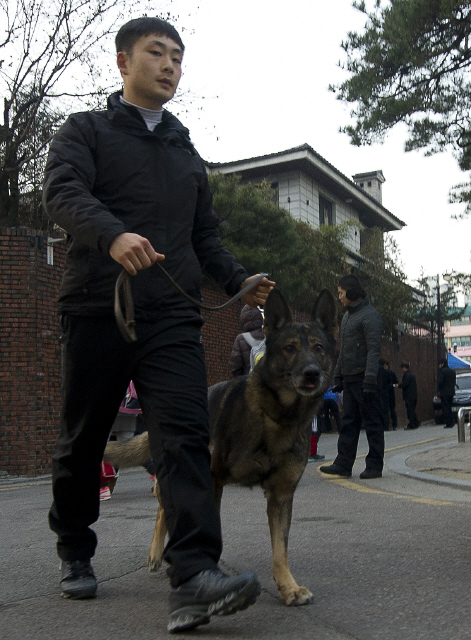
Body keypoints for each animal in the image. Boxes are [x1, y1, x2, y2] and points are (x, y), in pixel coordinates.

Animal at [104, 288, 338, 608]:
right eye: (290, 348)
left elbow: (280, 550)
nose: (311, 373)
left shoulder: (280, 496)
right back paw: (155, 555)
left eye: (318, 347)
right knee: (163, 508)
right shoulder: (212, 481)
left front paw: (288, 587)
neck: (276, 416)